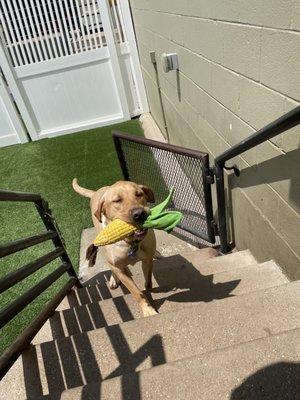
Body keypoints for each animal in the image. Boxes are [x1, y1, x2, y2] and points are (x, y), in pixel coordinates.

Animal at [72, 178, 158, 316]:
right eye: (117, 200)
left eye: (139, 194)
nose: (139, 214)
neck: (130, 243)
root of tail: (97, 192)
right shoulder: (119, 268)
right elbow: (136, 292)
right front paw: (148, 310)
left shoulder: (147, 260)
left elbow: (148, 280)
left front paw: (148, 289)